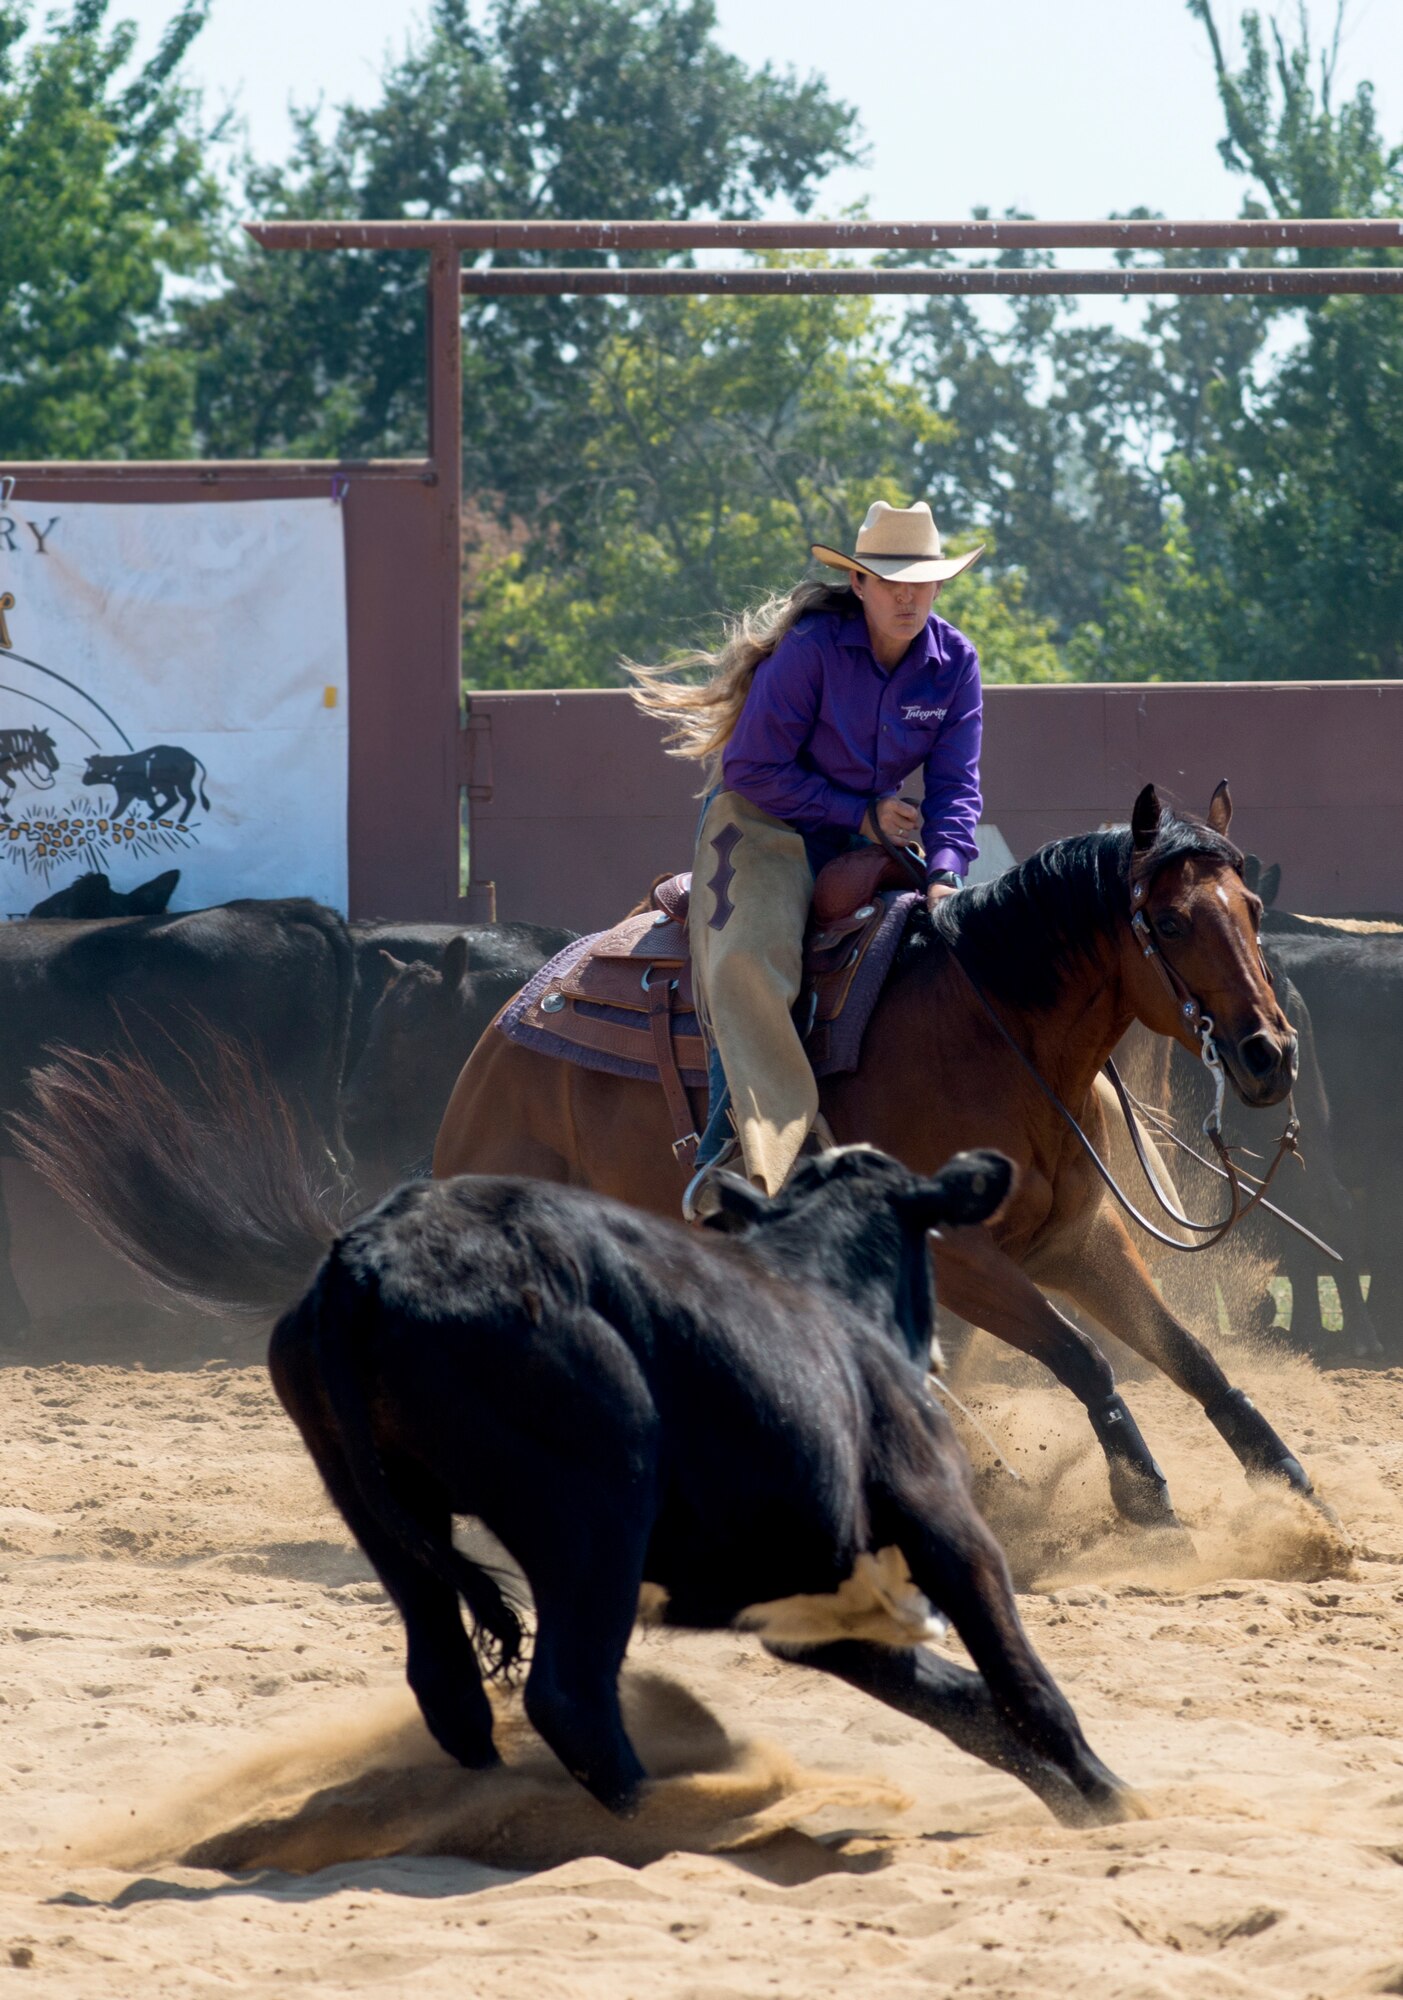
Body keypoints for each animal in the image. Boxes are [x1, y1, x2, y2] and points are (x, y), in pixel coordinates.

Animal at [83, 744, 211, 820]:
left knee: (182, 798)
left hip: (170, 784)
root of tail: (189, 755)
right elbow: (152, 804)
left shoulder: (128, 793)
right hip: (175, 785)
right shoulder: (145, 792)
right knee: (180, 799)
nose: (83, 780)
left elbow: (118, 810)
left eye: (93, 768)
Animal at [271, 1152, 1143, 1832]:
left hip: (382, 1515)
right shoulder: (948, 1529)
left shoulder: (816, 1607)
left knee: (448, 1681)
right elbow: (1024, 1686)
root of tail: (368, 1262)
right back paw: (675, 1812)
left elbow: (963, 1699)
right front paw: (1118, 1799)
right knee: (571, 1695)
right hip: (596, 1515)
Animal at [437, 780, 1319, 1528]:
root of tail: (508, 1026)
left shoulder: (1078, 1240)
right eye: (1169, 923)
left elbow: (1188, 1354)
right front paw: (1146, 1504)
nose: (1269, 1054)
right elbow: (1084, 1359)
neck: (987, 1036)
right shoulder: (958, 1254)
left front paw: (1291, 1490)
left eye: (1251, 907)